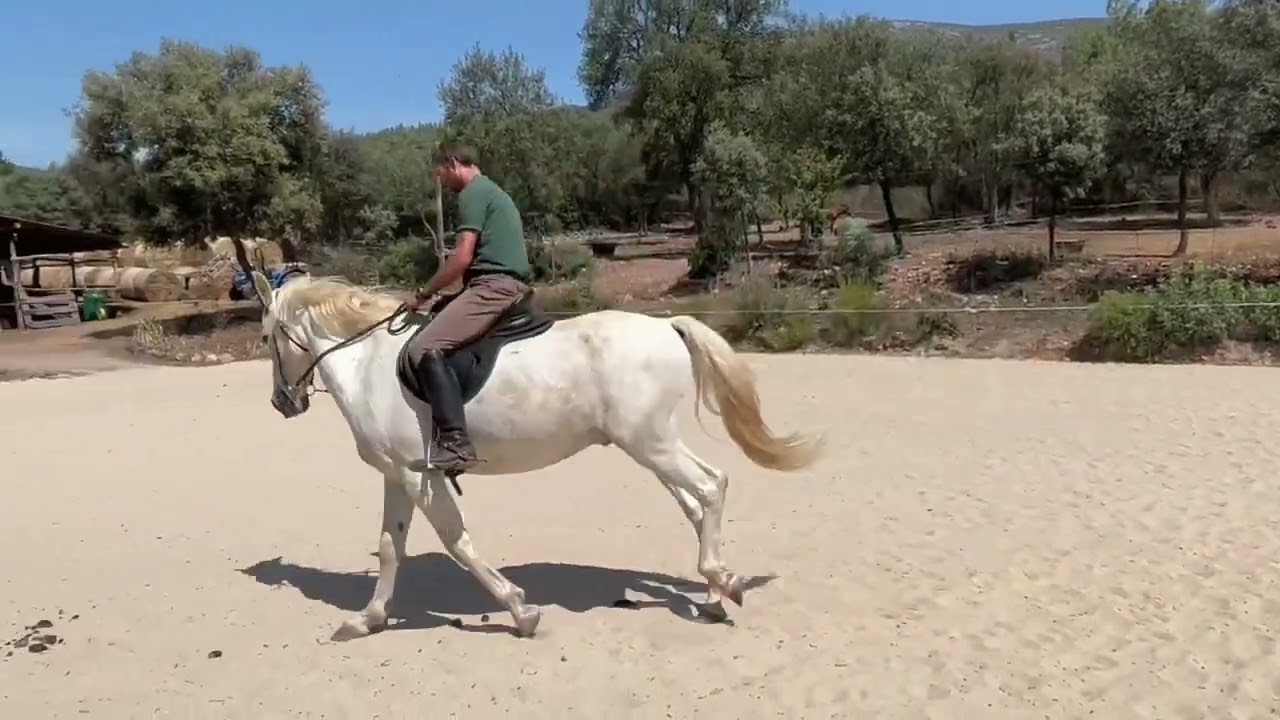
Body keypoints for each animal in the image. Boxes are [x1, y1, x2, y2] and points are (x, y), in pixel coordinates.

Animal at [249, 271, 823, 640]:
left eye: (265, 335)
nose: (282, 402)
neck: (368, 363)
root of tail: (666, 325)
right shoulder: (398, 475)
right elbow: (391, 547)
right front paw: (365, 620)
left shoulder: (420, 476)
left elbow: (457, 542)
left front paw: (521, 611)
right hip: (652, 444)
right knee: (695, 502)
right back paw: (715, 596)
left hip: (650, 442)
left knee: (710, 486)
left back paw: (723, 583)